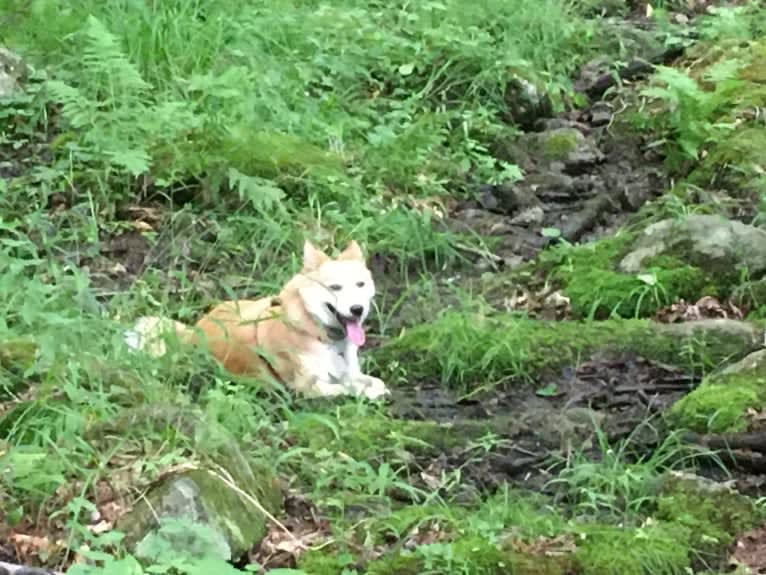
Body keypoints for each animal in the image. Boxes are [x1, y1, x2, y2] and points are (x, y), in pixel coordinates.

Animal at [127, 240, 392, 400]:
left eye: (360, 284)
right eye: (335, 287)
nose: (357, 309)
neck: (318, 332)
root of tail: (192, 332)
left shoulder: (348, 371)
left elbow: (371, 381)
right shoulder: (308, 387)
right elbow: (350, 388)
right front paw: (369, 393)